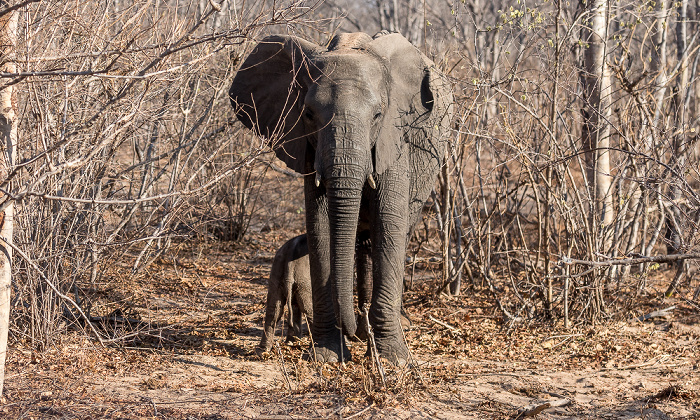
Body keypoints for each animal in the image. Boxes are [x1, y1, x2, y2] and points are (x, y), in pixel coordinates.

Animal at [227, 32, 452, 364]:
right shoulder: (308, 148)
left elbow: (390, 226)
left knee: (390, 235)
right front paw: (326, 355)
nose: (353, 330)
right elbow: (319, 225)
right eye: (308, 114)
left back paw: (388, 326)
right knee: (363, 242)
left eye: (378, 115)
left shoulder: (394, 139)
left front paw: (392, 360)